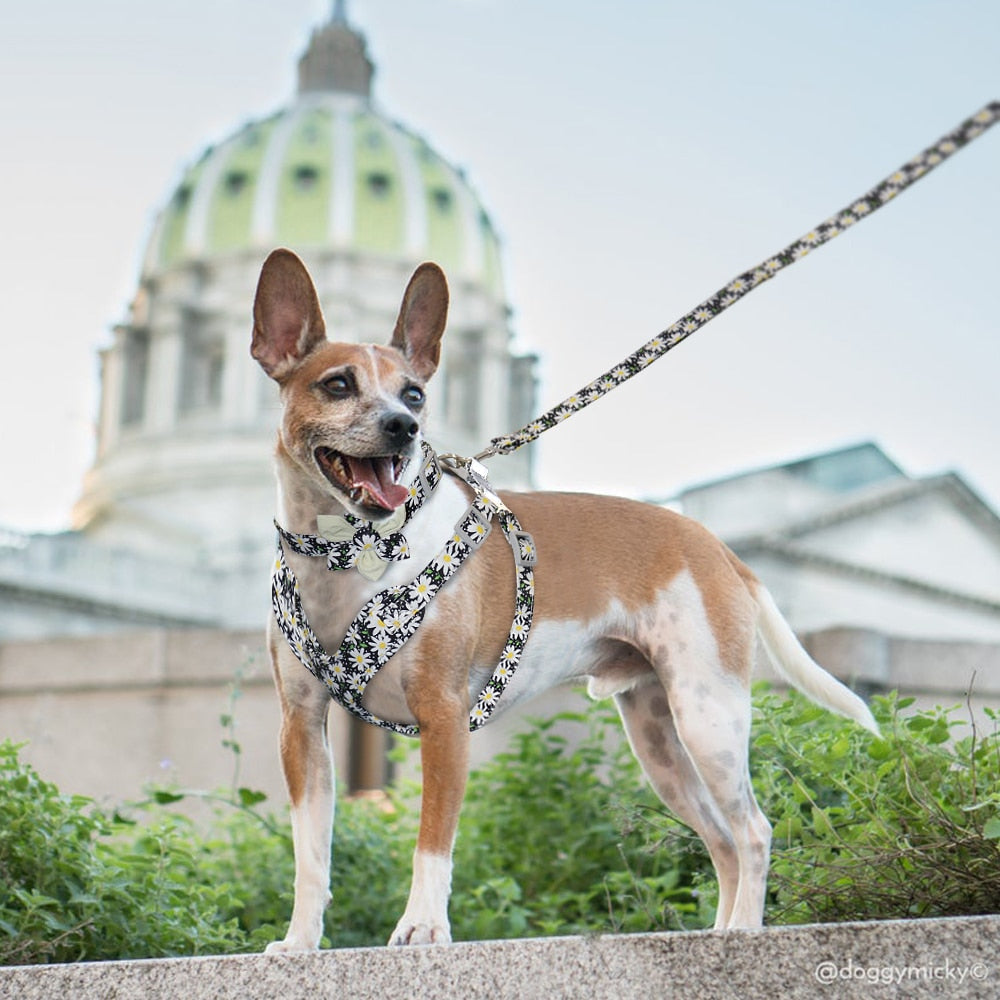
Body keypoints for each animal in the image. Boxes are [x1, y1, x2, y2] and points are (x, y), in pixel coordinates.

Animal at [252, 246, 884, 948]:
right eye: (338, 384)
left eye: (415, 392)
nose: (404, 426)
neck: (351, 550)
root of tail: (719, 548)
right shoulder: (302, 730)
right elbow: (311, 857)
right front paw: (300, 943)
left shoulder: (444, 721)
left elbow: (432, 843)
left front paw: (422, 929)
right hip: (662, 744)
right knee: (722, 841)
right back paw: (718, 933)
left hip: (709, 721)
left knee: (754, 831)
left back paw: (744, 932)